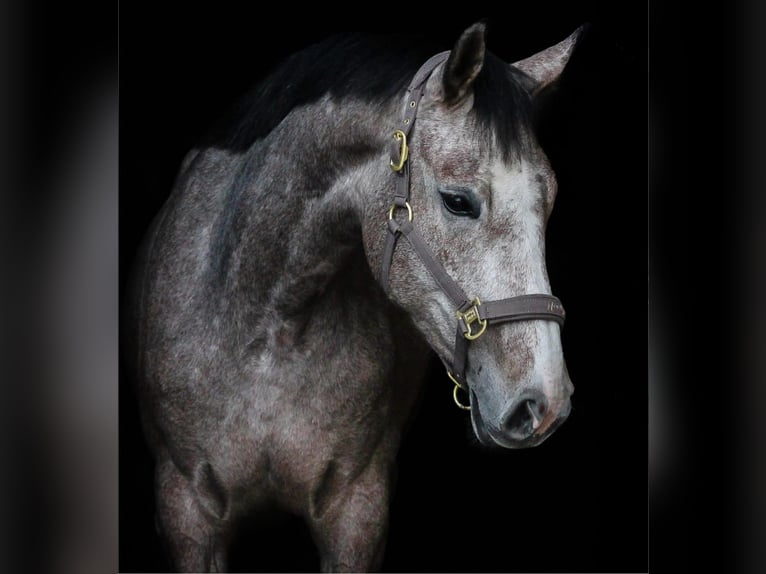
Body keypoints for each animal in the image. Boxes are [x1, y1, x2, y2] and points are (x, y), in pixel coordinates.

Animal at [126, 22, 583, 572]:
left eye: (550, 200)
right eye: (457, 201)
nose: (544, 402)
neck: (271, 333)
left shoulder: (356, 512)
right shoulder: (187, 513)